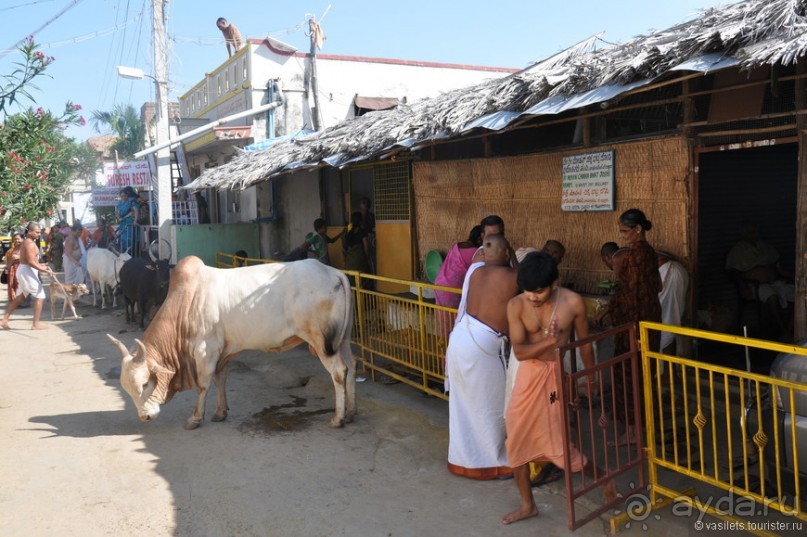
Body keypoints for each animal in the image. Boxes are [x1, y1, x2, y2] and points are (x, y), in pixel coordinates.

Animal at [109, 253, 356, 430]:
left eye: (144, 384)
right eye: (126, 389)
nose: (145, 417)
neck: (184, 305)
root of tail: (332, 272)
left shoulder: (205, 351)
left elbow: (203, 384)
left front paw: (196, 418)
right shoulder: (222, 352)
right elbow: (221, 380)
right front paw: (220, 413)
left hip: (323, 342)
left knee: (338, 371)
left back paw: (338, 418)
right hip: (343, 340)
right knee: (351, 368)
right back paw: (350, 413)